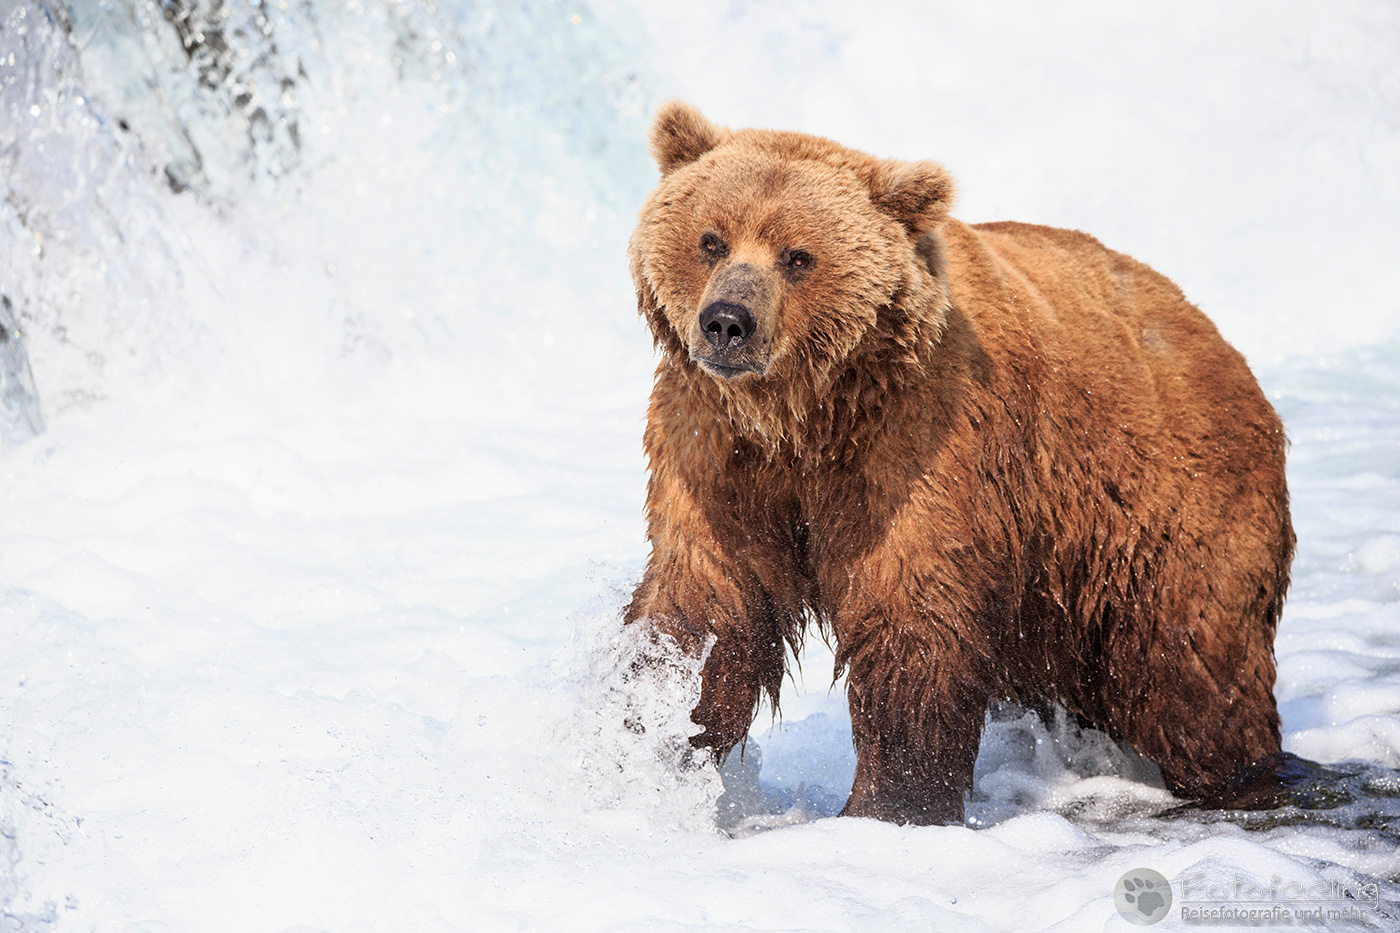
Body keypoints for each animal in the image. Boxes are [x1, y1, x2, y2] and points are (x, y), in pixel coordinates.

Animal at [622, 101, 1295, 826]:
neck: (805, 415)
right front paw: (639, 747)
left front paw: (890, 802)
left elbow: (913, 619)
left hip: (1169, 507)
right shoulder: (716, 450)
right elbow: (708, 604)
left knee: (1193, 674)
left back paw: (1241, 775)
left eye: (798, 256)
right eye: (711, 240)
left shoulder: (919, 443)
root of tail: (1220, 342)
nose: (727, 322)